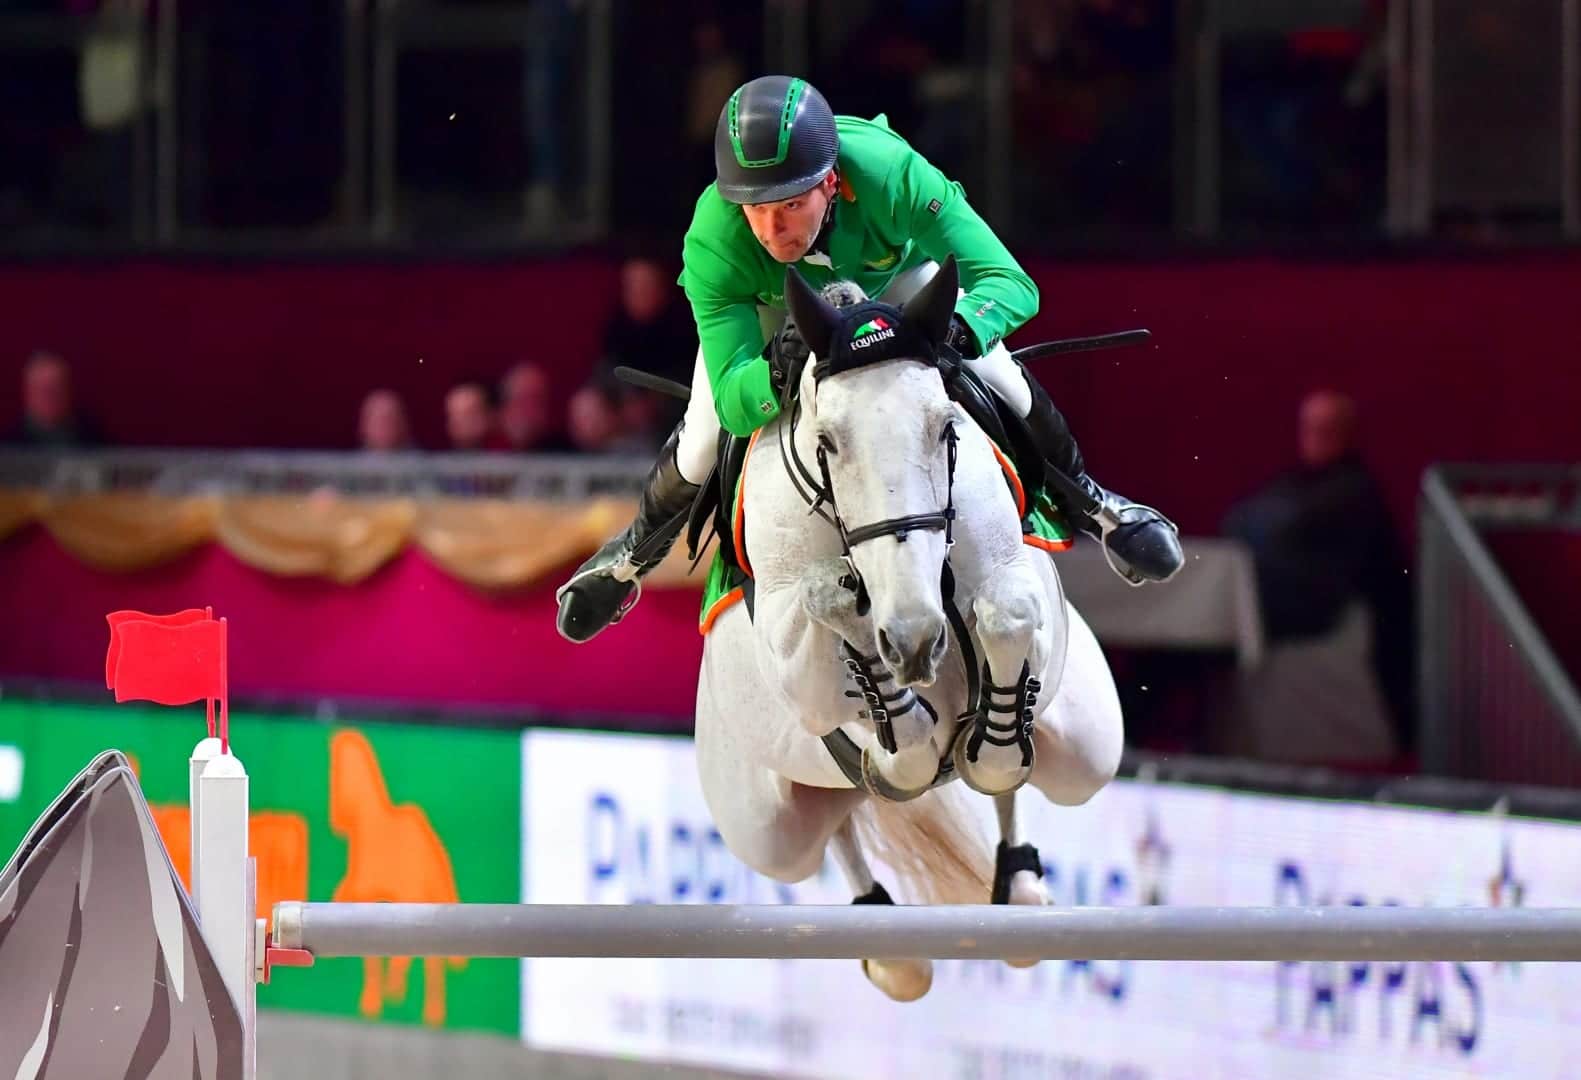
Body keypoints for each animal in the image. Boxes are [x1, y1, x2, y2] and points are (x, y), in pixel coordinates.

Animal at [692, 257, 1125, 999]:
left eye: (945, 429)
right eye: (828, 443)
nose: (917, 637)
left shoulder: (1018, 580)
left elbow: (1007, 617)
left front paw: (985, 746)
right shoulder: (800, 671)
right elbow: (847, 645)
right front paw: (895, 714)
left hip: (1088, 746)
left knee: (1037, 780)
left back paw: (1017, 884)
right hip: (766, 826)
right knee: (832, 823)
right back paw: (890, 947)